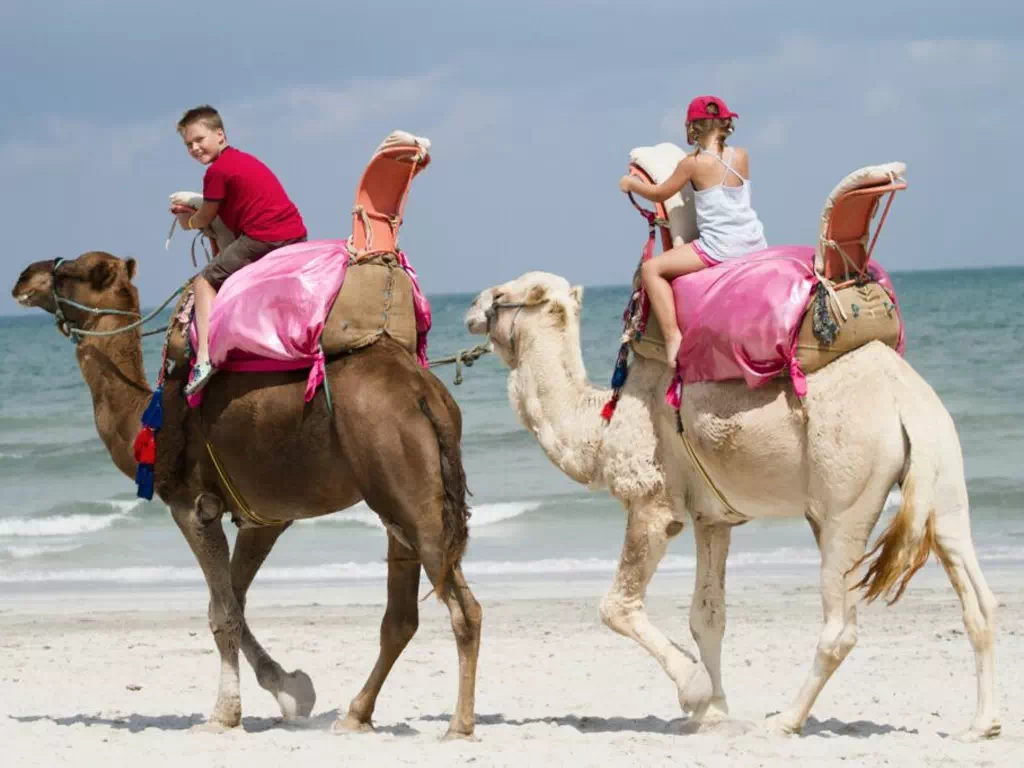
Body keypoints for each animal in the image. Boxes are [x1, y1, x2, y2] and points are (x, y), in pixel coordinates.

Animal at [12, 252, 483, 741]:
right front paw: (292, 690)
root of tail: (425, 395)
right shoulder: (264, 518)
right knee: (401, 617)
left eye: (74, 272)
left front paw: (225, 715)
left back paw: (458, 725)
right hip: (400, 497)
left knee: (463, 608)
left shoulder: (192, 505)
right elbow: (229, 605)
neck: (145, 419)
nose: (24, 277)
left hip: (409, 492)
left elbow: (223, 614)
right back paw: (356, 715)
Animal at [468, 270, 999, 741]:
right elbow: (707, 617)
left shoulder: (653, 504)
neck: (601, 423)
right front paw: (715, 714)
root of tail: (904, 400)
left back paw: (785, 721)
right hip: (943, 475)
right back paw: (981, 725)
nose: (471, 308)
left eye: (506, 292)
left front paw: (695, 692)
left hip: (845, 494)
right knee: (977, 596)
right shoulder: (713, 519)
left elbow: (616, 605)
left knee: (840, 626)